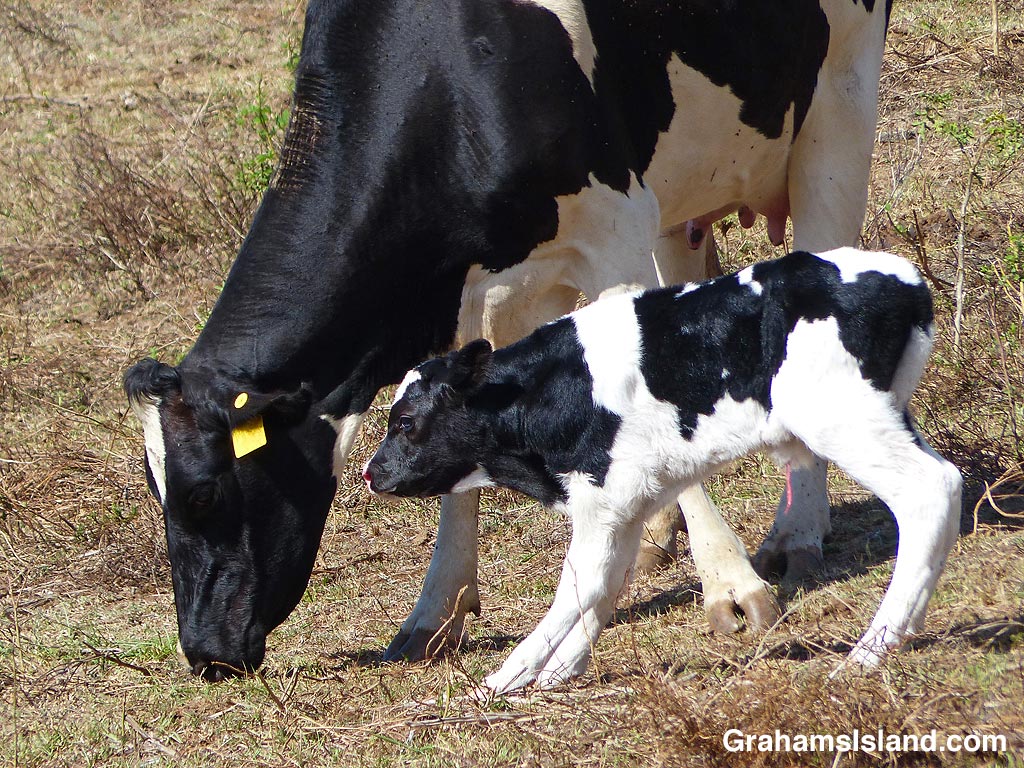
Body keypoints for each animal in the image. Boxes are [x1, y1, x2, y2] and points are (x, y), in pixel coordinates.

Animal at [124, 0, 892, 679]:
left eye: (203, 495)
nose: (204, 652)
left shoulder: (614, 226)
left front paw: (732, 589)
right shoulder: (470, 295)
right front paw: (434, 614)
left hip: (837, 106)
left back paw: (796, 532)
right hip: (683, 182)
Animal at [364, 249, 963, 692]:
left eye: (407, 423)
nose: (372, 473)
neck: (549, 392)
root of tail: (909, 282)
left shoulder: (601, 502)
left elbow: (577, 588)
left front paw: (507, 677)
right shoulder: (627, 505)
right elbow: (604, 587)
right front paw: (561, 671)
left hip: (847, 422)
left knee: (930, 490)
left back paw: (869, 652)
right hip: (888, 416)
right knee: (947, 484)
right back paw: (902, 632)